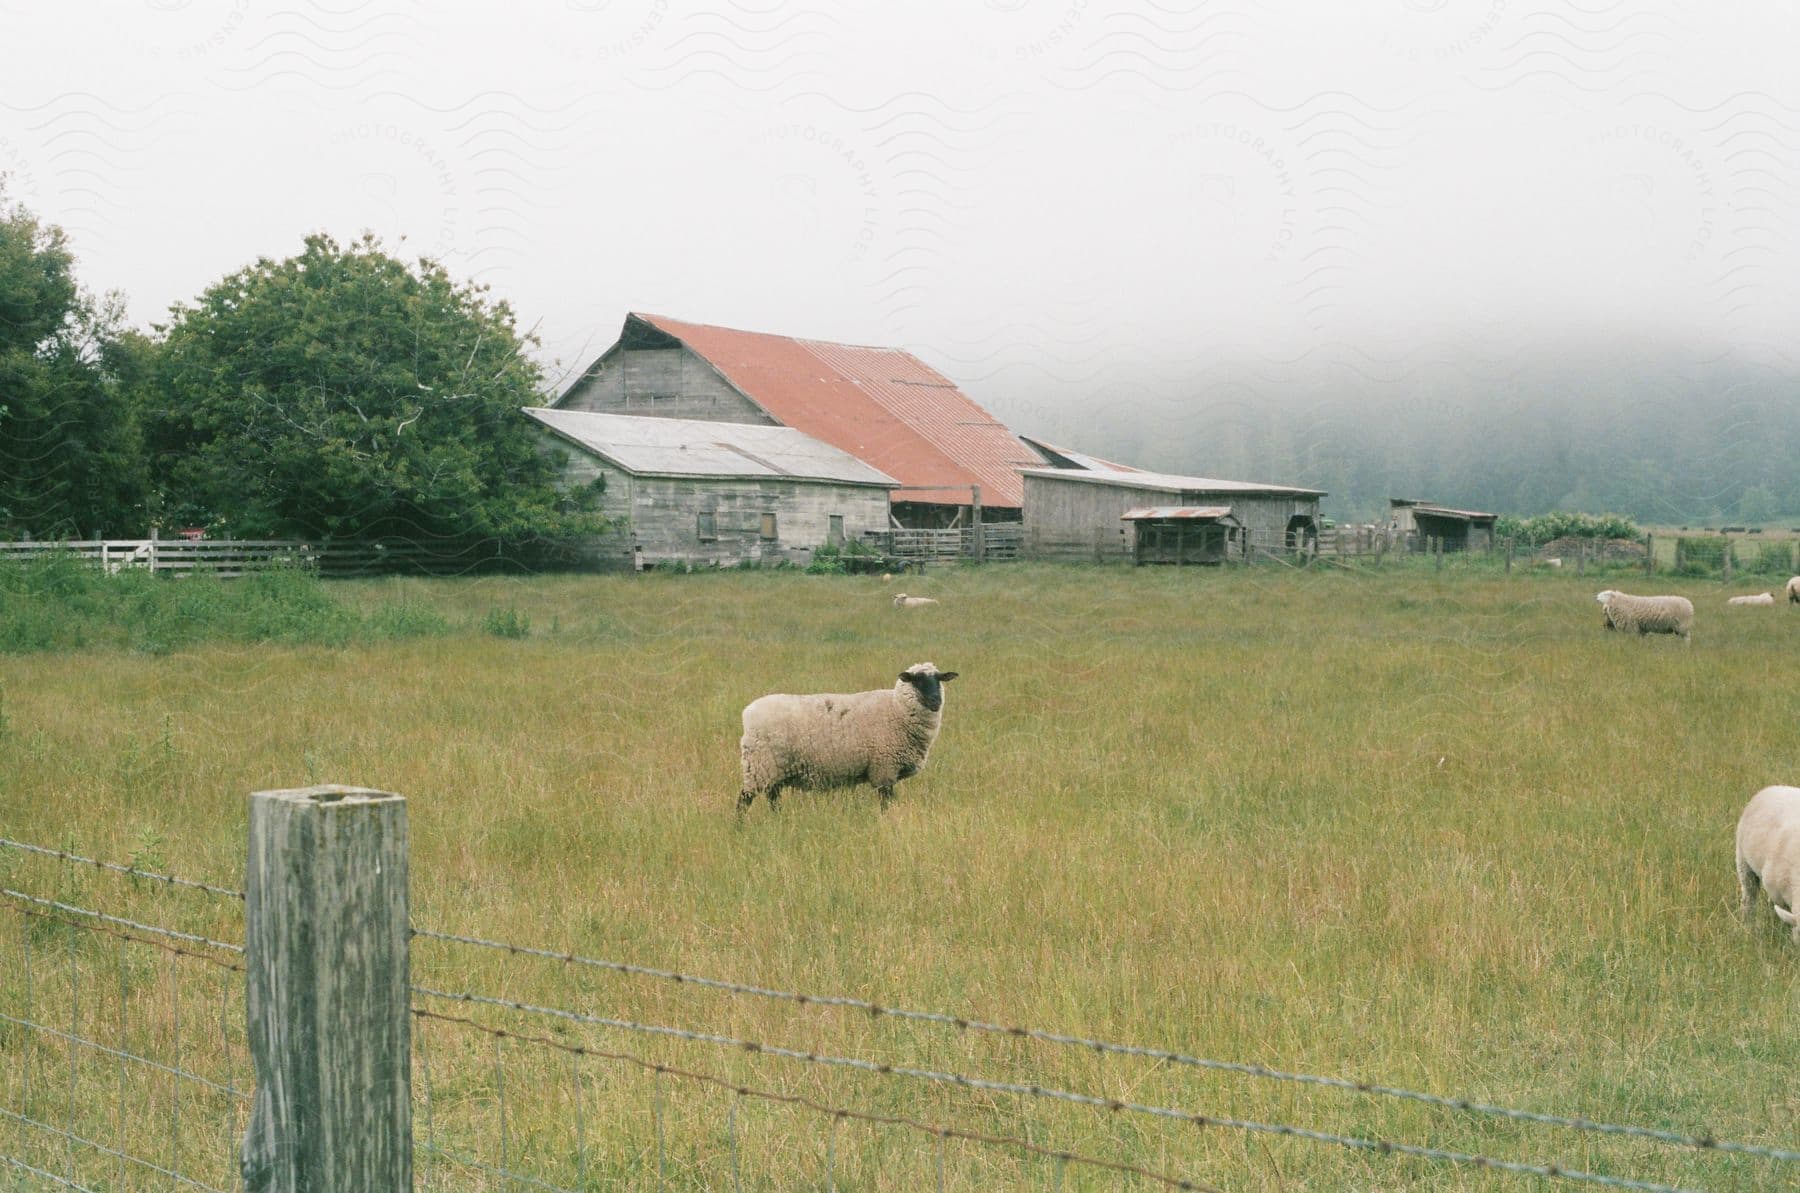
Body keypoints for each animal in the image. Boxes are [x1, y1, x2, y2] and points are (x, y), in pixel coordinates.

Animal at [734, 658, 957, 816]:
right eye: (917, 680)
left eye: (938, 679)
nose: (936, 701)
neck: (896, 709)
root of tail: (747, 713)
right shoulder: (884, 769)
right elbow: (886, 804)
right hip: (759, 765)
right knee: (744, 800)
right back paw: (739, 827)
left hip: (774, 769)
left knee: (773, 797)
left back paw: (778, 819)